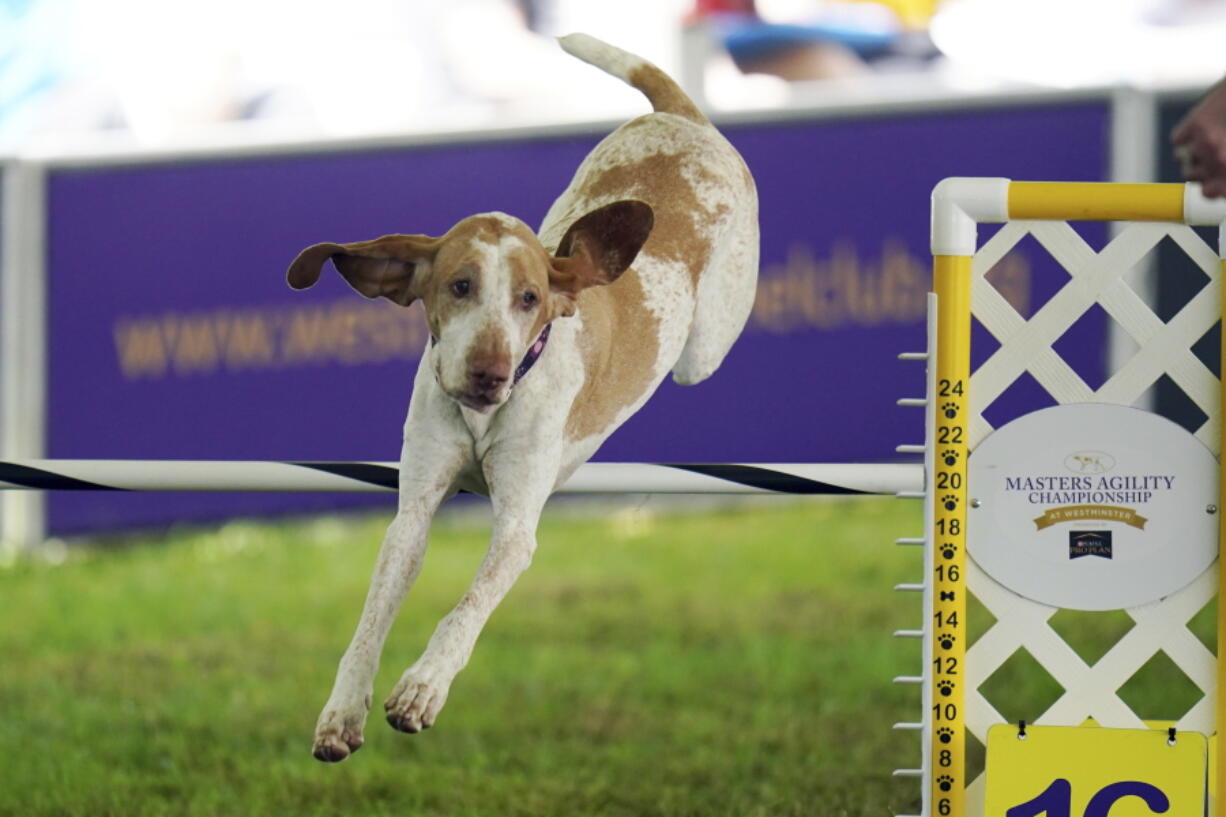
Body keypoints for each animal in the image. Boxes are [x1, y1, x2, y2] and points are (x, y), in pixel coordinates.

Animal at [286, 31, 755, 755]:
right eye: (459, 286)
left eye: (530, 298)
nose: (489, 371)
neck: (485, 416)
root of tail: (681, 117)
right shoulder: (413, 513)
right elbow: (370, 621)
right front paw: (343, 710)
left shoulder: (515, 529)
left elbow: (465, 609)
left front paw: (423, 687)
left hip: (704, 346)